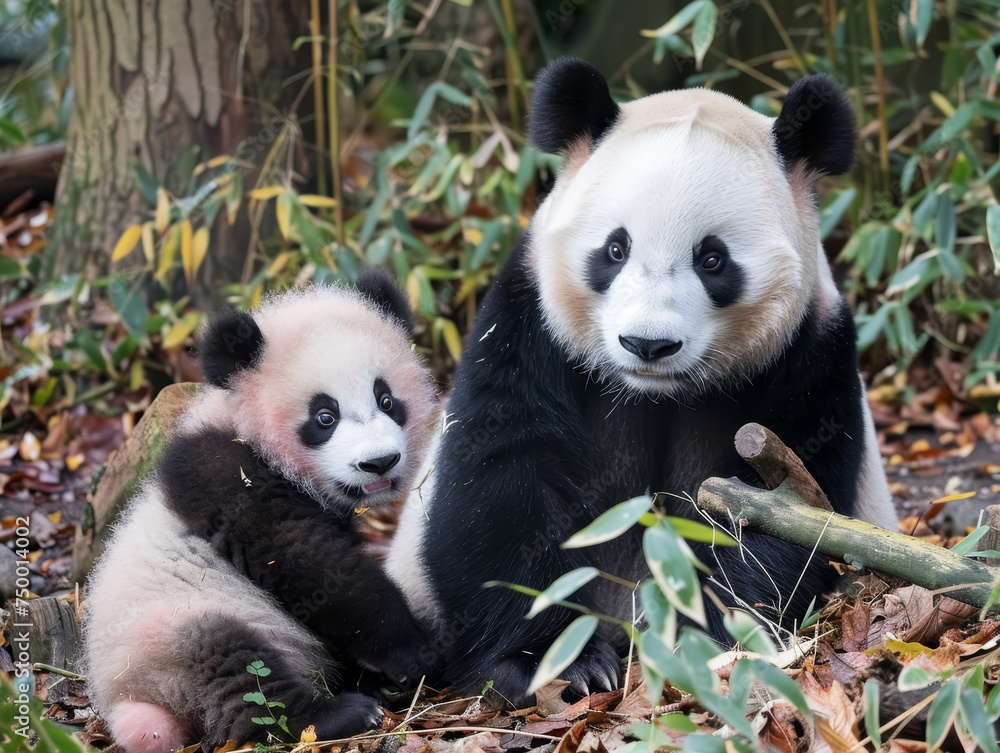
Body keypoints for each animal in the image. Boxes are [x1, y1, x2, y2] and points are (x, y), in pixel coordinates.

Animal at [84, 270, 437, 753]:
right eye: (324, 417)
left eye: (386, 400)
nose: (379, 462)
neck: (243, 424)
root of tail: (127, 701)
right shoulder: (227, 477)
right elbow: (309, 560)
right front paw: (410, 649)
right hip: (174, 631)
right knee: (240, 672)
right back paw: (336, 715)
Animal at [386, 58, 897, 706]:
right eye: (615, 248)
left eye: (712, 259)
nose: (647, 344)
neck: (654, 393)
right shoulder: (529, 326)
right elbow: (502, 482)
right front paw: (562, 663)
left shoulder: (809, 351)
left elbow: (779, 504)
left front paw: (699, 637)